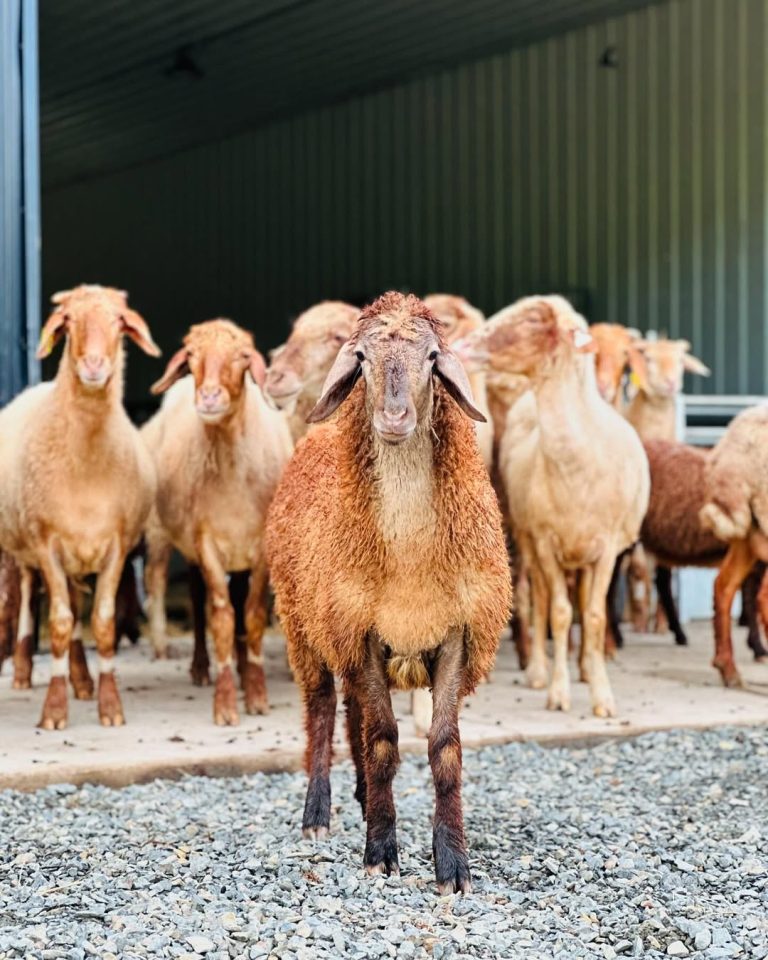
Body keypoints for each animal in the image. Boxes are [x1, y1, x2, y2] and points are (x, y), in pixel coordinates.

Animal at [0, 285, 160, 729]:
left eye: (119, 322)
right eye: (68, 322)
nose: (93, 365)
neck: (86, 462)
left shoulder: (116, 548)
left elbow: (100, 625)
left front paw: (109, 705)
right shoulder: (46, 543)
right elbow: (57, 622)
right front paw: (54, 710)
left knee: (73, 608)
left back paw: (82, 679)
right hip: (22, 549)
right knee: (28, 599)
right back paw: (23, 670)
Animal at [145, 319, 293, 725]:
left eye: (242, 357)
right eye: (192, 356)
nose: (209, 398)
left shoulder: (260, 547)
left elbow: (252, 616)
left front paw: (256, 693)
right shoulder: (206, 543)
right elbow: (222, 619)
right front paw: (226, 704)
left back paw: (243, 669)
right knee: (198, 602)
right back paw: (200, 667)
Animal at [461, 295, 649, 716]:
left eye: (533, 320)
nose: (461, 345)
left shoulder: (607, 550)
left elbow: (593, 617)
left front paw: (602, 696)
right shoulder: (546, 542)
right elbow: (560, 614)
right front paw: (558, 692)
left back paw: (586, 669)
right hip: (529, 541)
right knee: (542, 599)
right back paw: (538, 671)